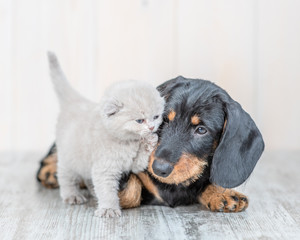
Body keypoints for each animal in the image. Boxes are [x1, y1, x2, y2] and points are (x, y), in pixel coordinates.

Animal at [38, 76, 264, 212]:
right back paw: (51, 171)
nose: (159, 168)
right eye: (164, 120)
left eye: (201, 130)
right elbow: (132, 188)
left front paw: (222, 193)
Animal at [47, 52, 164, 218]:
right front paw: (109, 209)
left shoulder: (133, 164)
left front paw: (150, 140)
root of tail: (74, 102)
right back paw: (72, 195)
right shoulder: (105, 168)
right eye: (139, 120)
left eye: (156, 116)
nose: (152, 127)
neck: (127, 142)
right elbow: (107, 190)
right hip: (68, 158)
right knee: (66, 177)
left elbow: (140, 159)